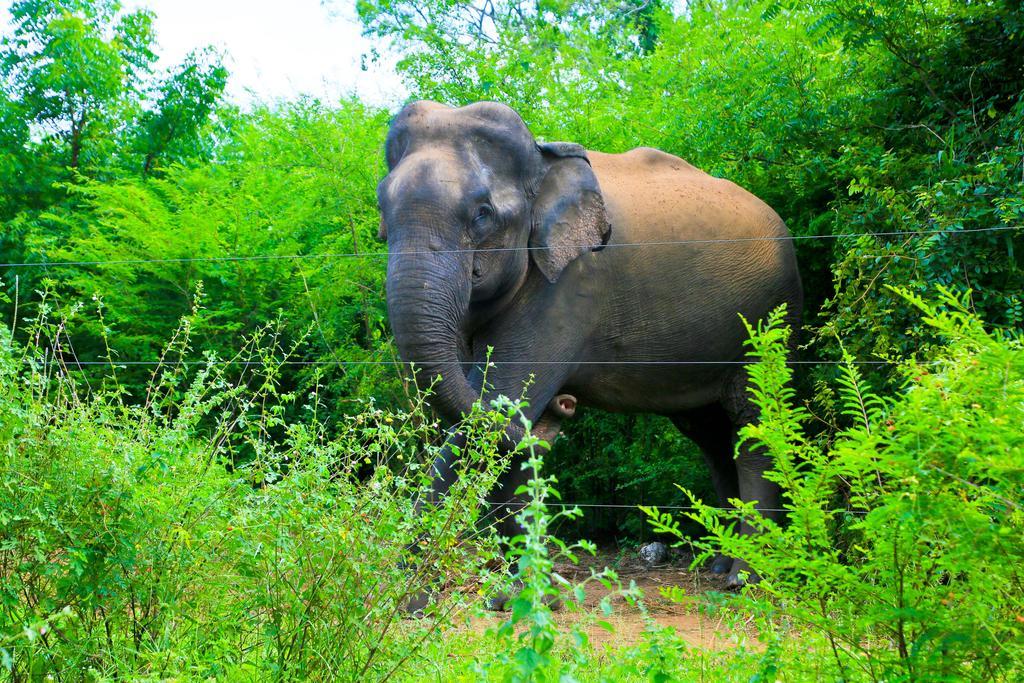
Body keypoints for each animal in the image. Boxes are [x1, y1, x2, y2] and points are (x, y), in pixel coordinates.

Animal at [376, 98, 798, 593]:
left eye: (482, 213)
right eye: (382, 212)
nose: (567, 404)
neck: (542, 159)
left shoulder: (568, 287)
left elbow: (497, 403)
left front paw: (395, 597)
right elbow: (494, 415)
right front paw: (513, 592)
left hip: (771, 313)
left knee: (753, 423)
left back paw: (743, 580)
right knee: (709, 434)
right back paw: (719, 565)